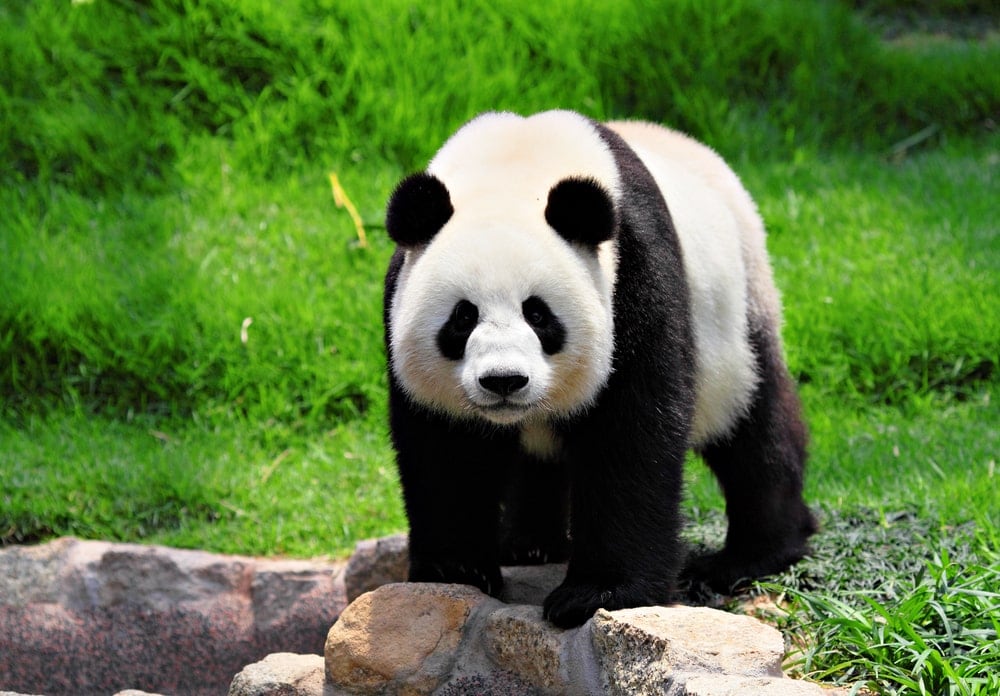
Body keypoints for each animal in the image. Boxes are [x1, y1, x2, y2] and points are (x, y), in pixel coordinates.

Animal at [383, 110, 817, 629]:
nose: (504, 381)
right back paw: (530, 545)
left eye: (538, 314)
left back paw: (752, 556)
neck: (515, 166)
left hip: (738, 313)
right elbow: (446, 448)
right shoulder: (399, 301)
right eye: (462, 317)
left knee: (754, 426)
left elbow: (631, 432)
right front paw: (457, 569)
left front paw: (596, 594)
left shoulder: (635, 273)